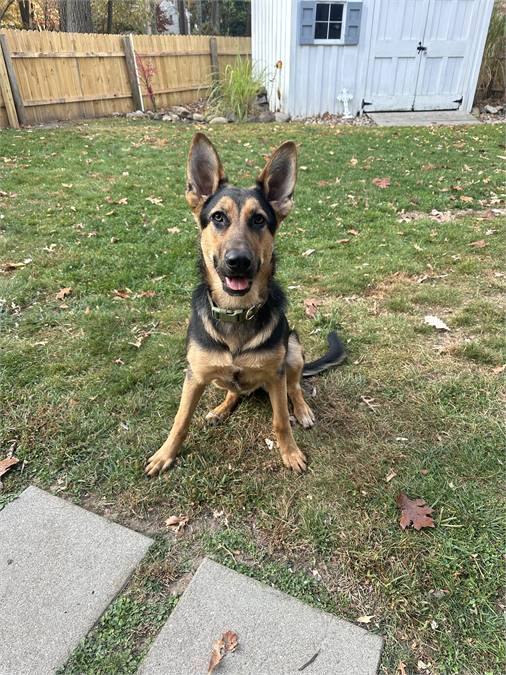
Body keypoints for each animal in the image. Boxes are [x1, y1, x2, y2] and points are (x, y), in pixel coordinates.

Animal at [144, 133, 346, 480]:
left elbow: (281, 421)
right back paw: (221, 408)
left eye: (259, 220)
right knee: (234, 390)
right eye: (218, 217)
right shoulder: (194, 377)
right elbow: (180, 420)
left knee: (295, 386)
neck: (236, 312)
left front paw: (290, 453)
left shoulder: (276, 375)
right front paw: (165, 454)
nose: (238, 262)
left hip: (293, 348)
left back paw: (302, 409)